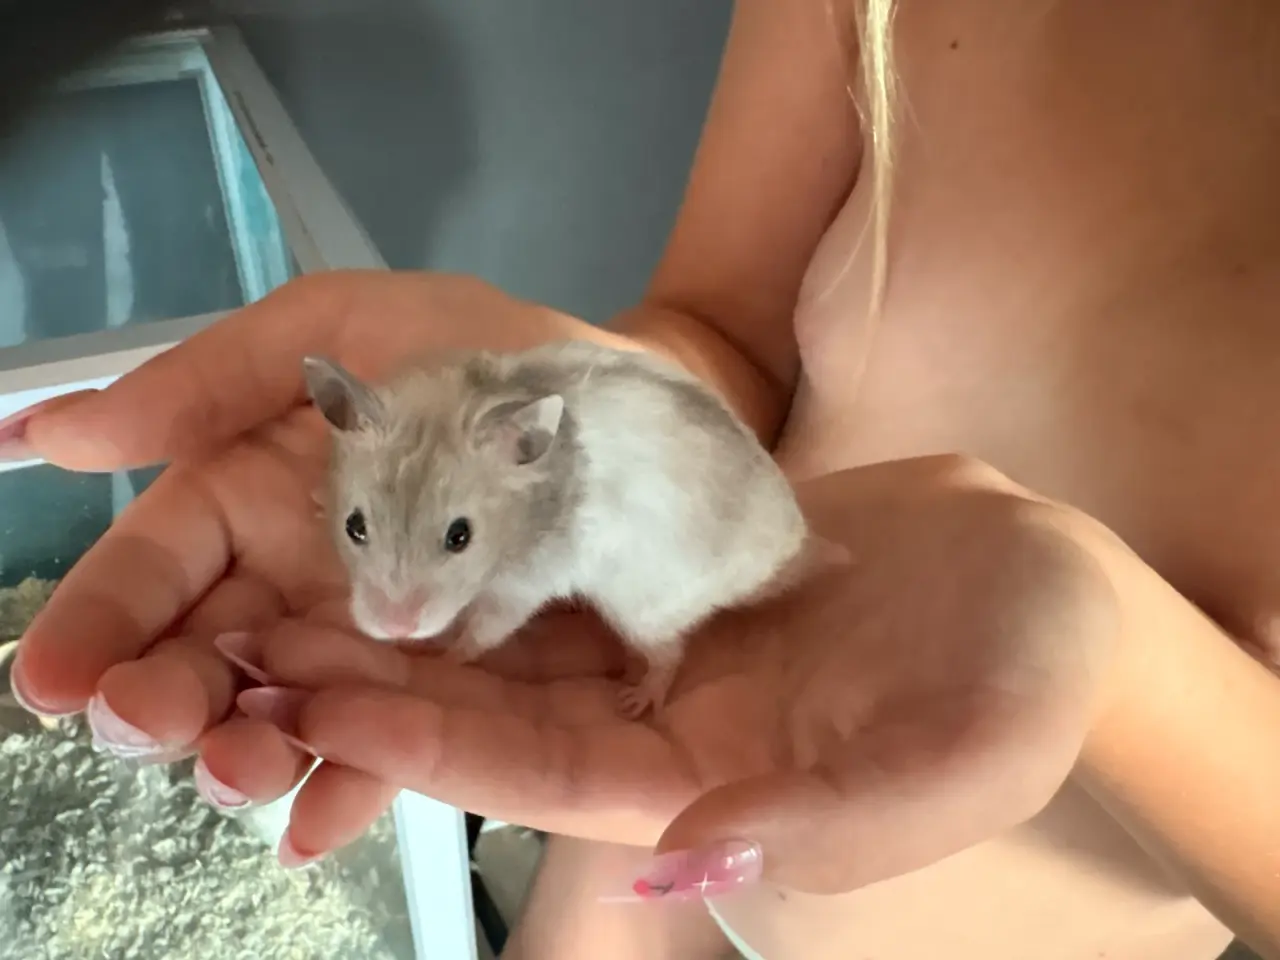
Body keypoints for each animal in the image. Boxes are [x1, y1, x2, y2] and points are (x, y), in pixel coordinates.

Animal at [302, 340, 830, 719]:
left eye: (460, 536)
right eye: (354, 526)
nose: (396, 629)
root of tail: (793, 546)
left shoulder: (525, 585)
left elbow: (485, 629)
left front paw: (442, 657)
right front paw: (316, 500)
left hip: (644, 606)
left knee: (671, 653)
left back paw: (637, 702)